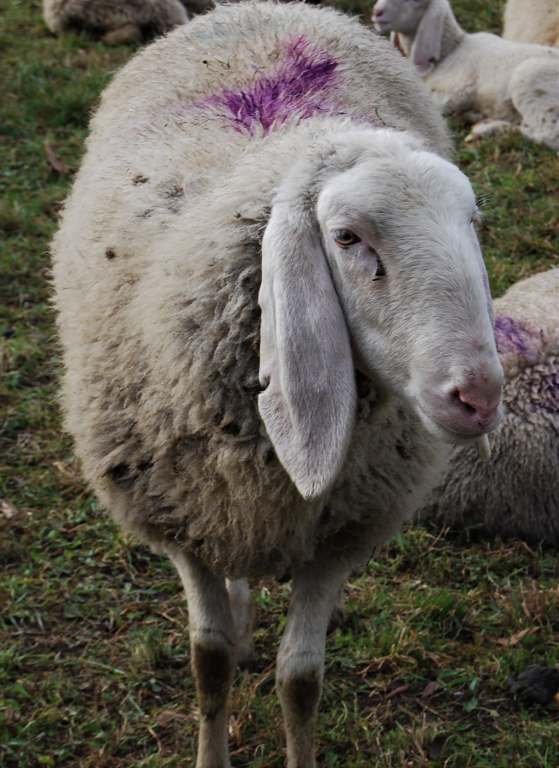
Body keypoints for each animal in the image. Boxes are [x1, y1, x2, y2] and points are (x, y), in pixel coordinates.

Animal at [51, 2, 504, 765]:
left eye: (472, 224)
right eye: (347, 238)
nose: (477, 397)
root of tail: (269, 8)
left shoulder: (339, 532)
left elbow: (300, 679)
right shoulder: (181, 518)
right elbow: (208, 661)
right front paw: (211, 746)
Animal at [372, 0, 559, 150]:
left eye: (416, 1)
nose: (376, 12)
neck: (452, 50)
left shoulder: (460, 91)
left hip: (530, 80)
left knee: (546, 135)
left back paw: (485, 129)